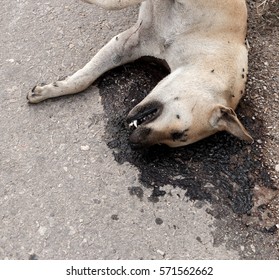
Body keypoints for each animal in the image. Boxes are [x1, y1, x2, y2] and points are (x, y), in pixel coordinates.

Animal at [27, 0, 254, 148]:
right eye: (178, 133)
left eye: (174, 139)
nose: (133, 143)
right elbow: (114, 3)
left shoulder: (127, 45)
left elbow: (83, 79)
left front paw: (50, 90)